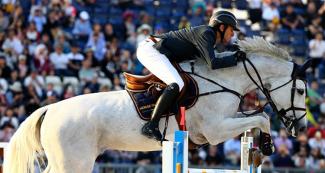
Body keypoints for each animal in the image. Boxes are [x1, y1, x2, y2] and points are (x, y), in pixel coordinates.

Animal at [4, 36, 308, 173]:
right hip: (74, 162)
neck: (225, 78)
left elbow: (257, 117)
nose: (301, 128)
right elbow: (262, 118)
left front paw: (263, 144)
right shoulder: (215, 130)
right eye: (302, 90)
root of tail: (49, 109)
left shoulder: (222, 125)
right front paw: (268, 145)